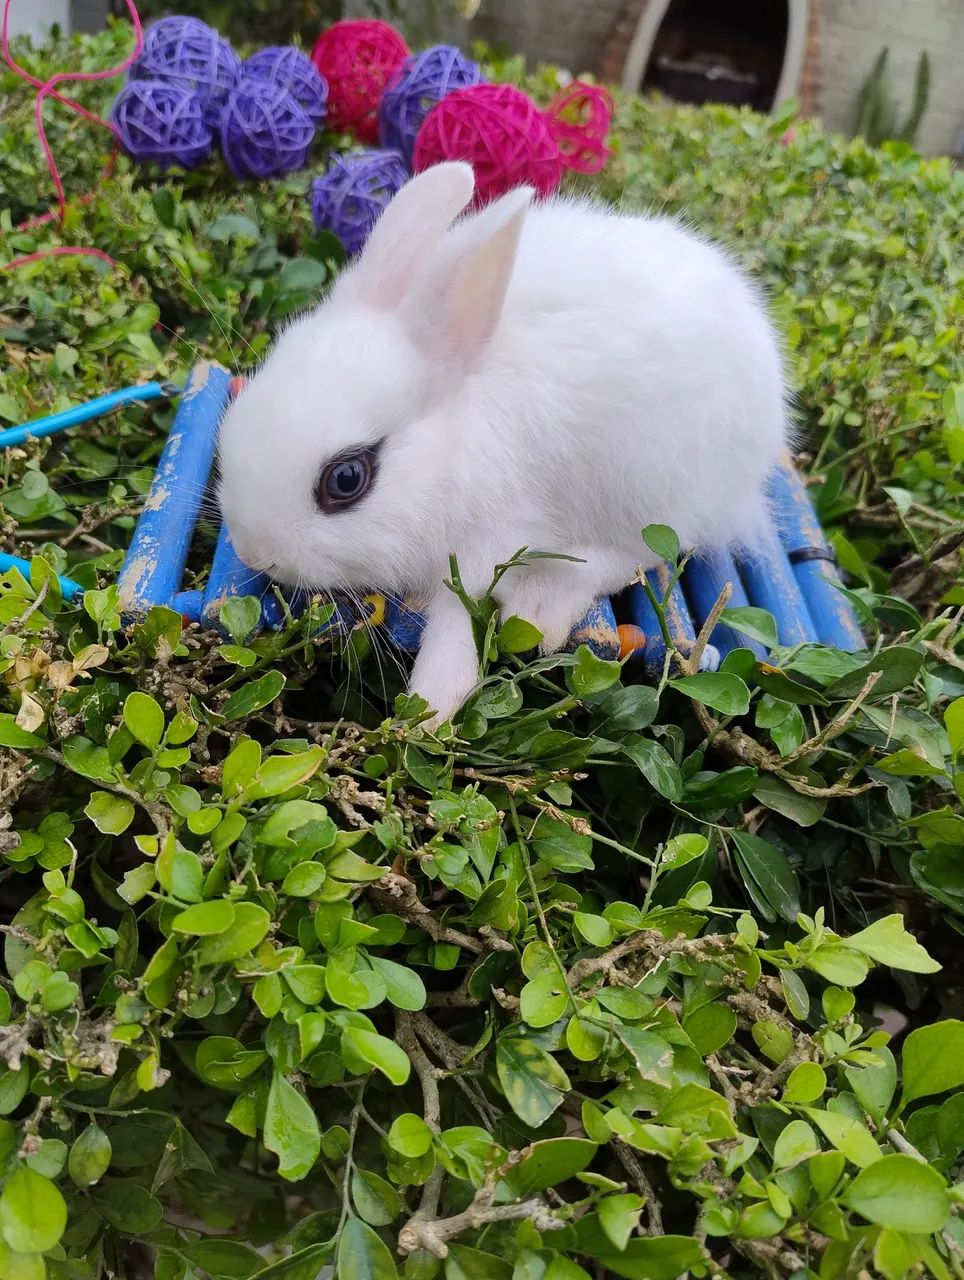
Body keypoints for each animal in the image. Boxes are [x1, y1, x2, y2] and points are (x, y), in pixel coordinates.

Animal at [217, 161, 789, 725]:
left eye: (347, 479)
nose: (253, 551)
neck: (452, 444)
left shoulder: (485, 546)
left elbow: (456, 627)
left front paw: (427, 713)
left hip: (652, 488)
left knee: (634, 555)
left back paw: (541, 601)